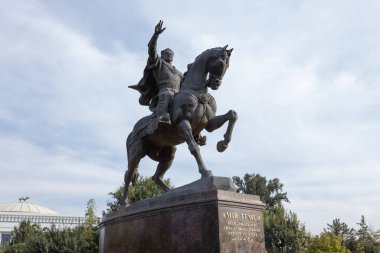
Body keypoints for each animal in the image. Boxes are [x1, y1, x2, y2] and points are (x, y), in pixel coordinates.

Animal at [123, 45, 238, 206]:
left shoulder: (208, 124)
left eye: (228, 65)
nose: (216, 83)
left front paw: (222, 144)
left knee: (156, 177)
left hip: (168, 152)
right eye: (221, 63)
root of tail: (130, 133)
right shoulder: (183, 123)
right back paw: (124, 203)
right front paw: (205, 173)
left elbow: (232, 115)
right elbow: (194, 148)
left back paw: (169, 194)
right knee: (128, 174)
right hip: (137, 151)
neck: (196, 92)